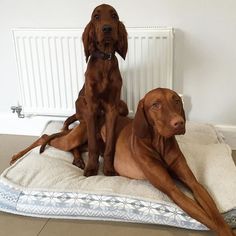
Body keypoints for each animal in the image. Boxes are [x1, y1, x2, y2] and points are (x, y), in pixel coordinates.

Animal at [11, 87, 236, 235]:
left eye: (176, 101)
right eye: (155, 105)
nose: (179, 123)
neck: (160, 144)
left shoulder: (194, 184)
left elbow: (215, 215)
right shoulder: (172, 189)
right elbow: (206, 218)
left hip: (90, 144)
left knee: (69, 144)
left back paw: (79, 161)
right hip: (76, 137)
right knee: (46, 136)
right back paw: (16, 156)